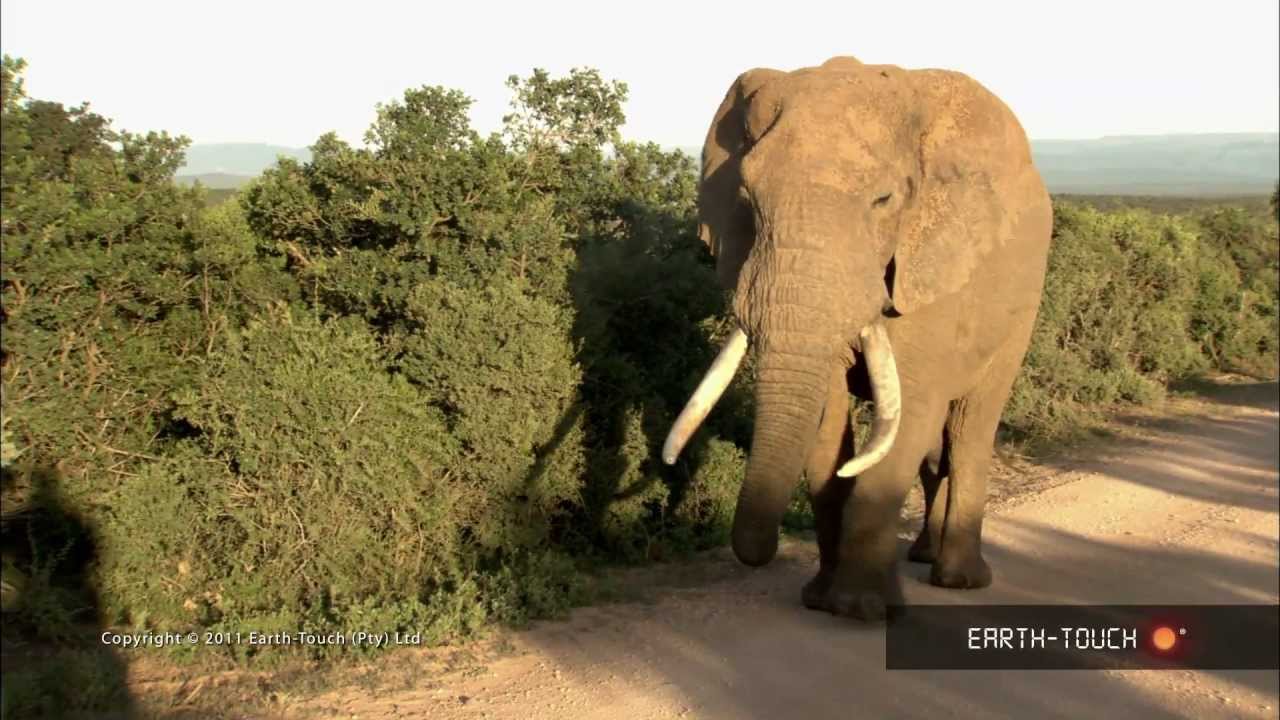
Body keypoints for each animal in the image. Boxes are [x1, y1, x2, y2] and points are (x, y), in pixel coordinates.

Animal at [662, 56, 1052, 622]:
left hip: (1021, 309)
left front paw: (861, 610)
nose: (759, 551)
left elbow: (910, 413)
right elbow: (826, 426)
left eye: (883, 201)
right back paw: (924, 556)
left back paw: (959, 579)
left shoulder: (930, 268)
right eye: (747, 200)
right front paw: (821, 600)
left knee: (969, 428)